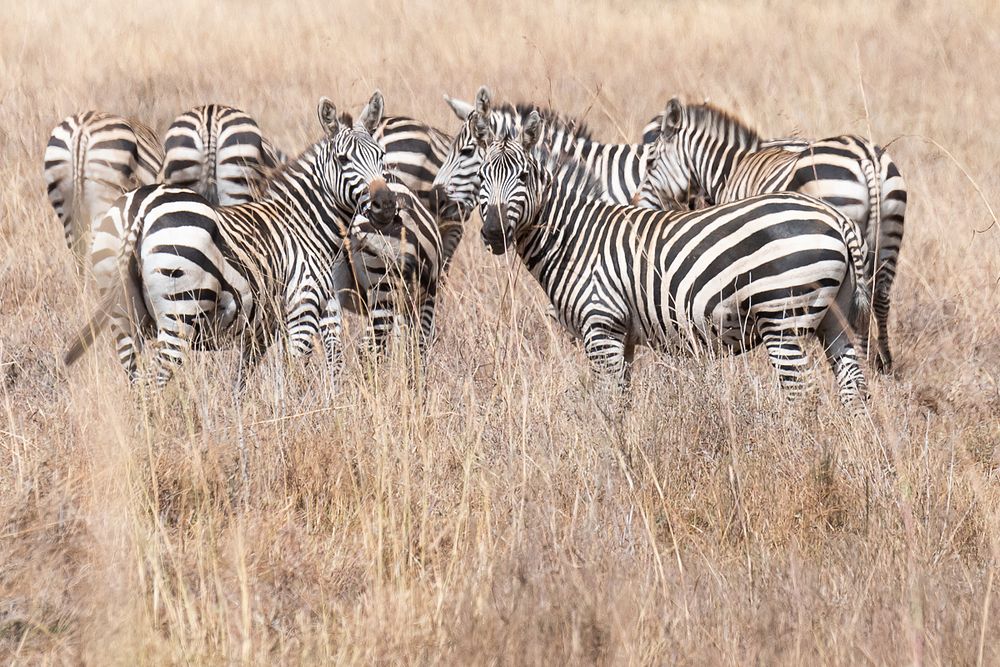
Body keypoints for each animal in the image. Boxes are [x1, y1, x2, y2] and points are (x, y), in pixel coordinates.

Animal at [472, 112, 872, 410]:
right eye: (481, 178)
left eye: (524, 176)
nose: (493, 232)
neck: (574, 236)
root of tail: (836, 218)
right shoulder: (623, 336)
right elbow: (622, 403)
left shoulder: (601, 327)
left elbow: (608, 406)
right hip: (836, 320)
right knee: (855, 390)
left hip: (782, 318)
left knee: (800, 394)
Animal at [636, 98, 912, 376]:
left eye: (650, 162)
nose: (636, 203)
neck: (731, 168)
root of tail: (865, 157)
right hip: (889, 234)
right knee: (879, 297)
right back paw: (881, 363)